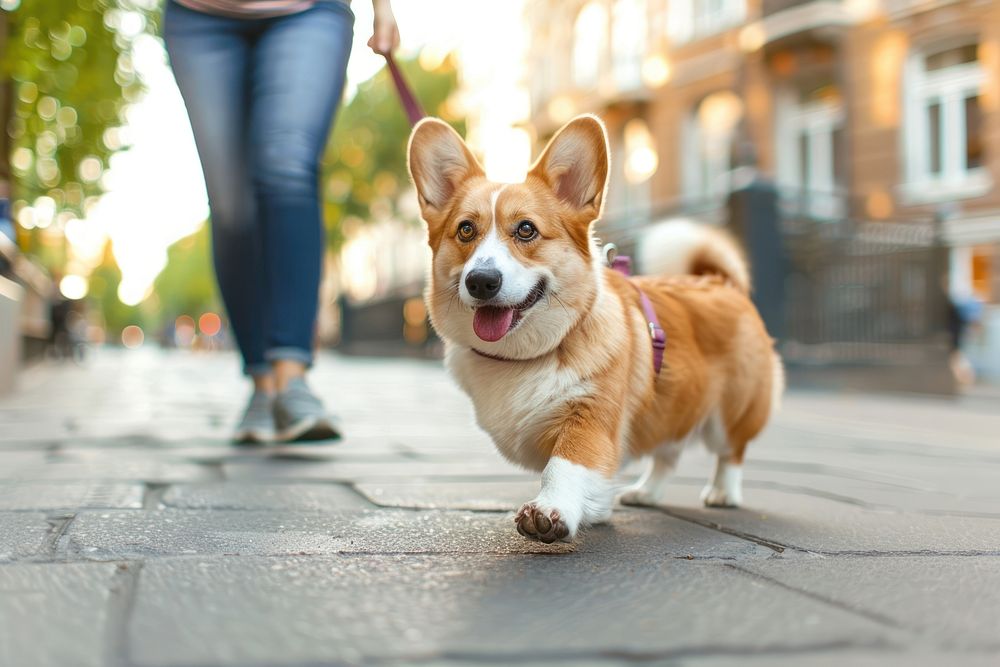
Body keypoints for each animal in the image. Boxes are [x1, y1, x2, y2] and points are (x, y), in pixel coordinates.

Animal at [406, 115, 780, 544]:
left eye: (526, 230)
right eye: (466, 230)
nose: (481, 281)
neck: (525, 354)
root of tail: (721, 282)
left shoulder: (590, 416)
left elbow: (562, 465)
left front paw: (550, 512)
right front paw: (595, 511)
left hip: (729, 414)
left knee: (731, 451)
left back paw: (722, 492)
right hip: (671, 401)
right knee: (668, 452)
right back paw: (646, 492)